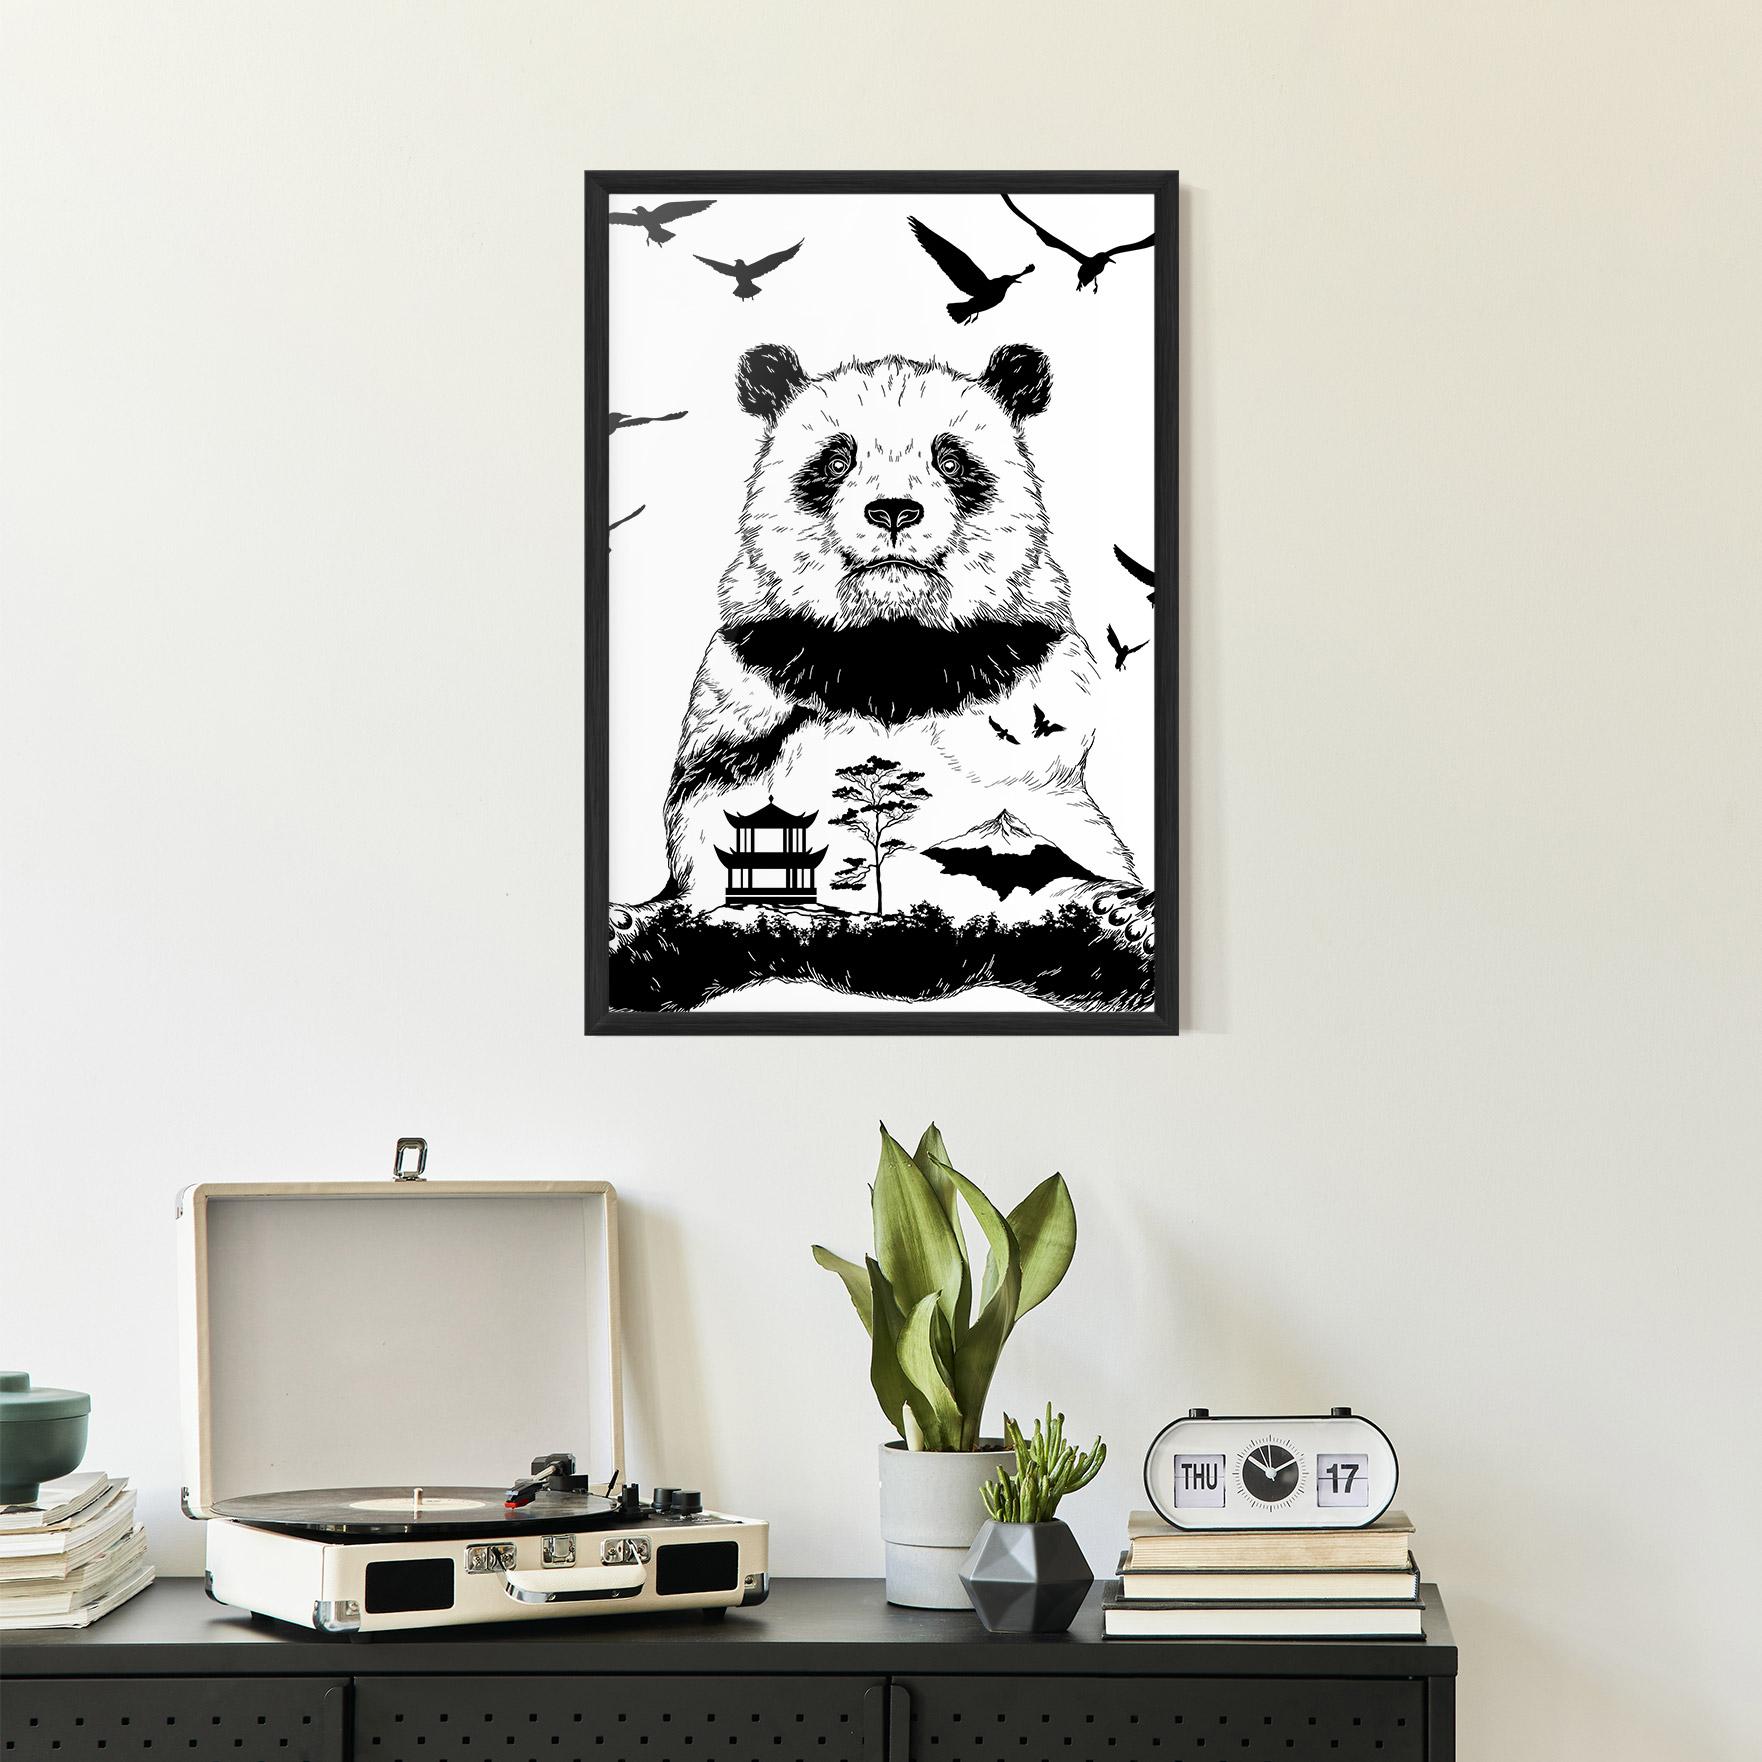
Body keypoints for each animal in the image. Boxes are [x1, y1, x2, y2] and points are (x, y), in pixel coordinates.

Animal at [609, 341, 1154, 1010]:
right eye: (836, 458)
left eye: (951, 459)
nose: (894, 510)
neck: (893, 640)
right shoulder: (753, 672)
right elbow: (716, 802)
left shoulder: (1029, 675)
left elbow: (1046, 814)